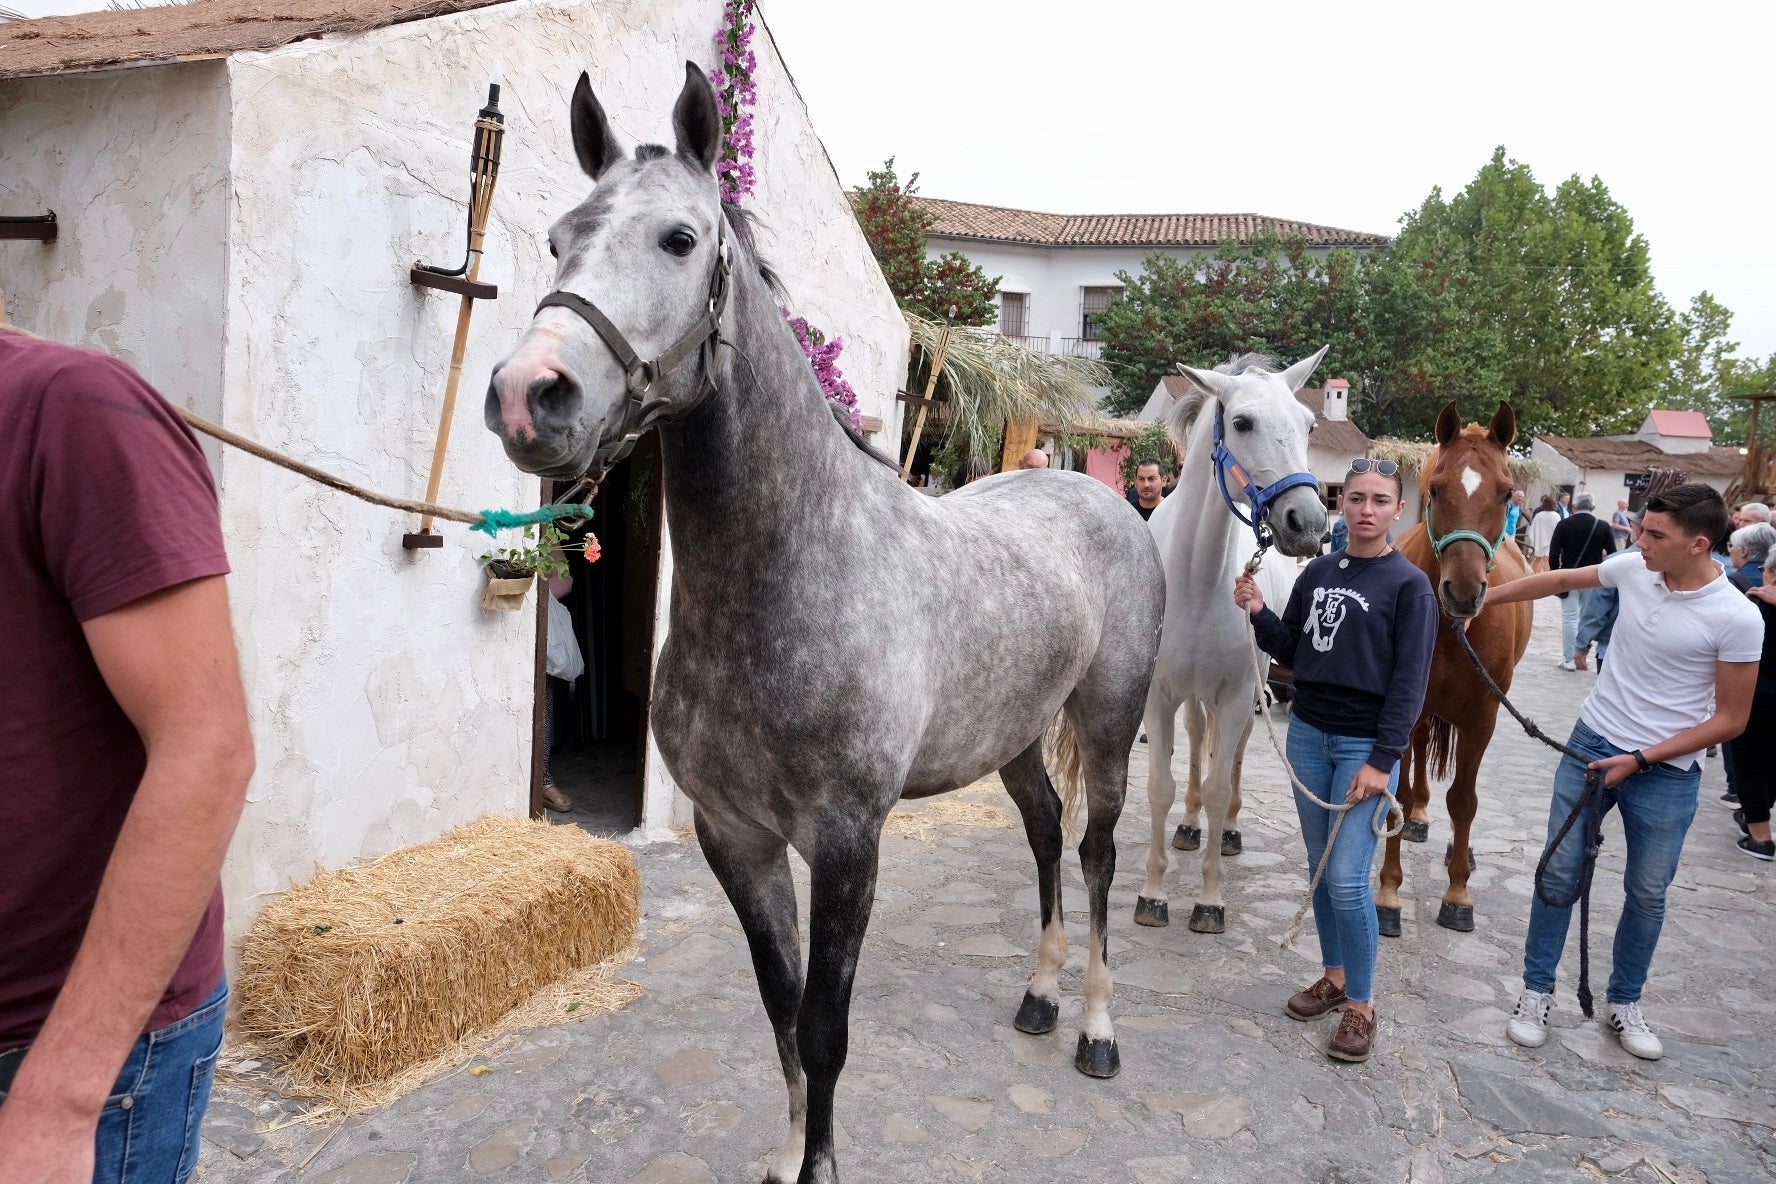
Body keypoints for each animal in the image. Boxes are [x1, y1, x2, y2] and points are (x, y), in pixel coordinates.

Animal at [483, 64, 1165, 1184]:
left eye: (679, 238)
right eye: (556, 238)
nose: (528, 395)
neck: (790, 578)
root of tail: (1101, 492)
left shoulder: (848, 842)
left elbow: (826, 1026)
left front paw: (822, 1163)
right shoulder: (738, 838)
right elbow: (779, 1008)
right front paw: (787, 1153)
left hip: (1107, 722)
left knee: (1099, 852)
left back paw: (1099, 1031)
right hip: (1016, 736)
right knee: (1043, 835)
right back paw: (1039, 995)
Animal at [1136, 351, 1335, 937]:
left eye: (1308, 425)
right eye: (1242, 423)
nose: (1308, 523)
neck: (1196, 579)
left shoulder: (1235, 695)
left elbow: (1222, 783)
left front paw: (1208, 901)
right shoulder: (1158, 696)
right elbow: (1161, 786)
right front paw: (1153, 894)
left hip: (1252, 694)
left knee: (1237, 756)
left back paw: (1224, 832)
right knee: (1195, 746)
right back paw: (1189, 826)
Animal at [1378, 402, 1534, 937]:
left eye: (1506, 492)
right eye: (1436, 489)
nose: (1463, 592)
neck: (1451, 629)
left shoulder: (1484, 714)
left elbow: (1465, 801)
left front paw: (1458, 893)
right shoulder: (1407, 710)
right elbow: (1400, 797)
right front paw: (1388, 893)